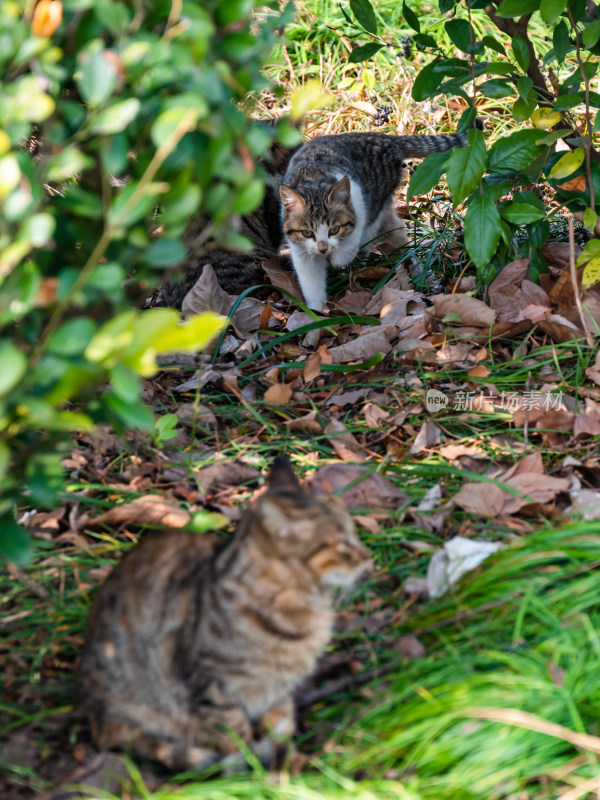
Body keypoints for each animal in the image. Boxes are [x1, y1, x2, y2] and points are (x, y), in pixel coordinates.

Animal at [78, 456, 370, 768]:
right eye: (343, 542)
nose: (368, 558)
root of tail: (94, 718)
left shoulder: (278, 692)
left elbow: (280, 731)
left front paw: (291, 765)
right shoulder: (214, 690)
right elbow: (237, 738)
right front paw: (256, 770)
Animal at [278, 128, 480, 310]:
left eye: (334, 229)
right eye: (307, 232)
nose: (323, 248)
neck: (314, 181)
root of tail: (386, 139)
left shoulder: (360, 205)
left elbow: (349, 244)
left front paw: (338, 258)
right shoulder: (300, 249)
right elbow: (310, 279)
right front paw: (316, 311)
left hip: (378, 196)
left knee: (371, 231)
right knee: (397, 231)